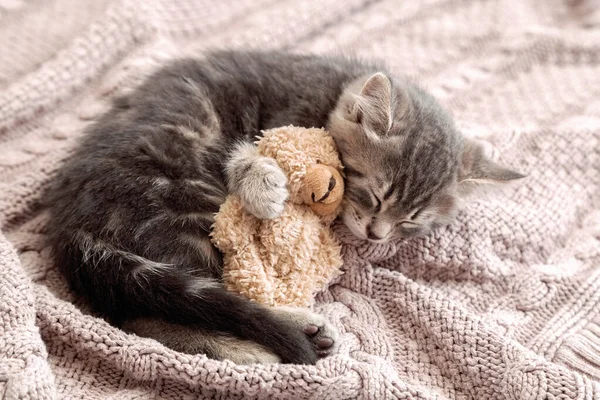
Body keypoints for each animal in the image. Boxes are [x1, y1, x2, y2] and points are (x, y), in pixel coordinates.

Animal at [47, 50, 524, 366]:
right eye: (375, 196)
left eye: (411, 221)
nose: (376, 234)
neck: (334, 87)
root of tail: (70, 227)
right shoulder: (277, 122)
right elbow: (246, 154)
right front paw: (262, 183)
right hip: (188, 205)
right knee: (153, 317)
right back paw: (266, 343)